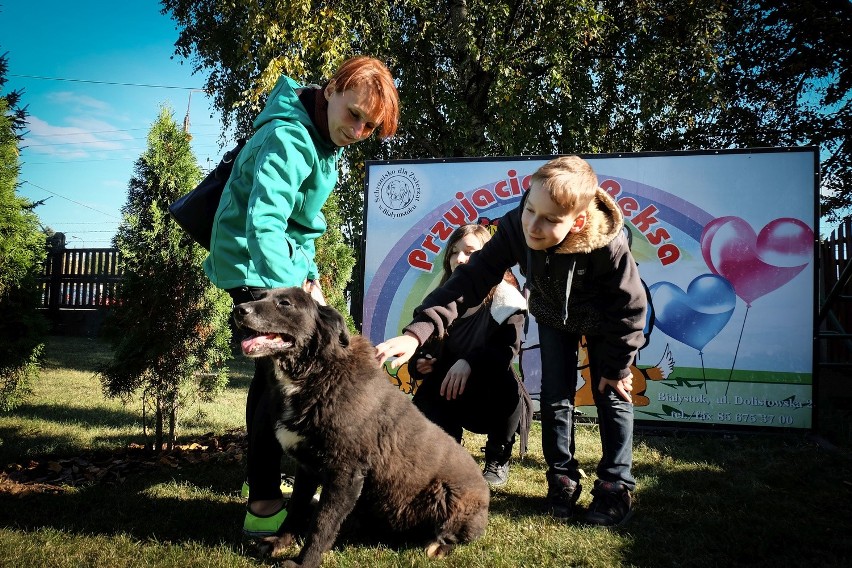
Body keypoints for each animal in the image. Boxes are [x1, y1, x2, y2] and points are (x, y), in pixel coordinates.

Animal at [233, 288, 490, 568]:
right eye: (260, 295)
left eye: (285, 303)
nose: (239, 310)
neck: (317, 373)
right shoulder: (307, 468)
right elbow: (297, 510)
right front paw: (279, 542)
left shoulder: (345, 474)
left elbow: (322, 524)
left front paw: (305, 562)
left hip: (448, 497)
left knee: (448, 537)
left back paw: (435, 546)